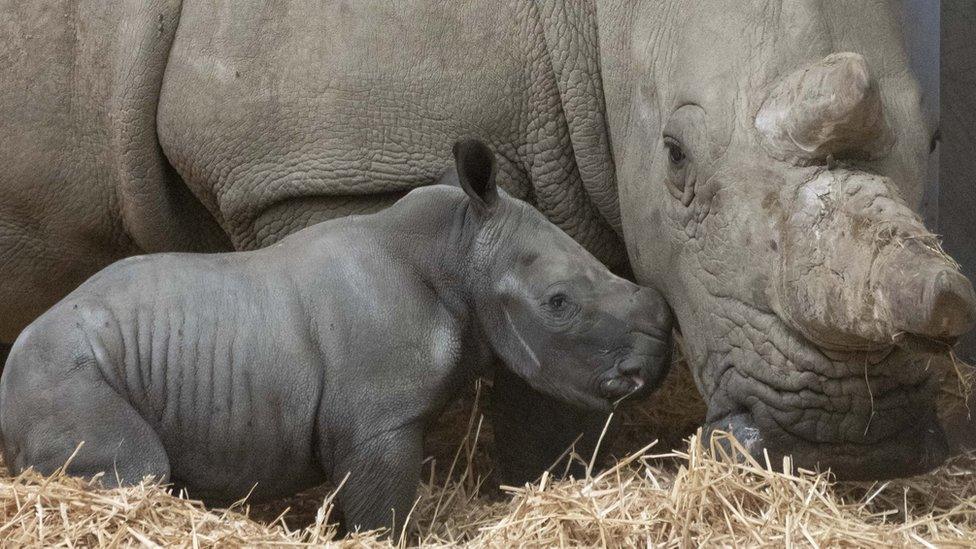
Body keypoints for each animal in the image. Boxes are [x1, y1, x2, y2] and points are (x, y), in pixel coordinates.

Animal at [0, 0, 972, 480]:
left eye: (935, 140)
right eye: (675, 156)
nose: (854, 445)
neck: (602, 18)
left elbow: (549, 367)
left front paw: (543, 485)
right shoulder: (318, 166)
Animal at [0, 138, 672, 532]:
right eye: (558, 303)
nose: (653, 363)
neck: (458, 252)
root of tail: (9, 366)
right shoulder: (377, 421)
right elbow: (384, 513)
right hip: (60, 371)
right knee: (139, 467)